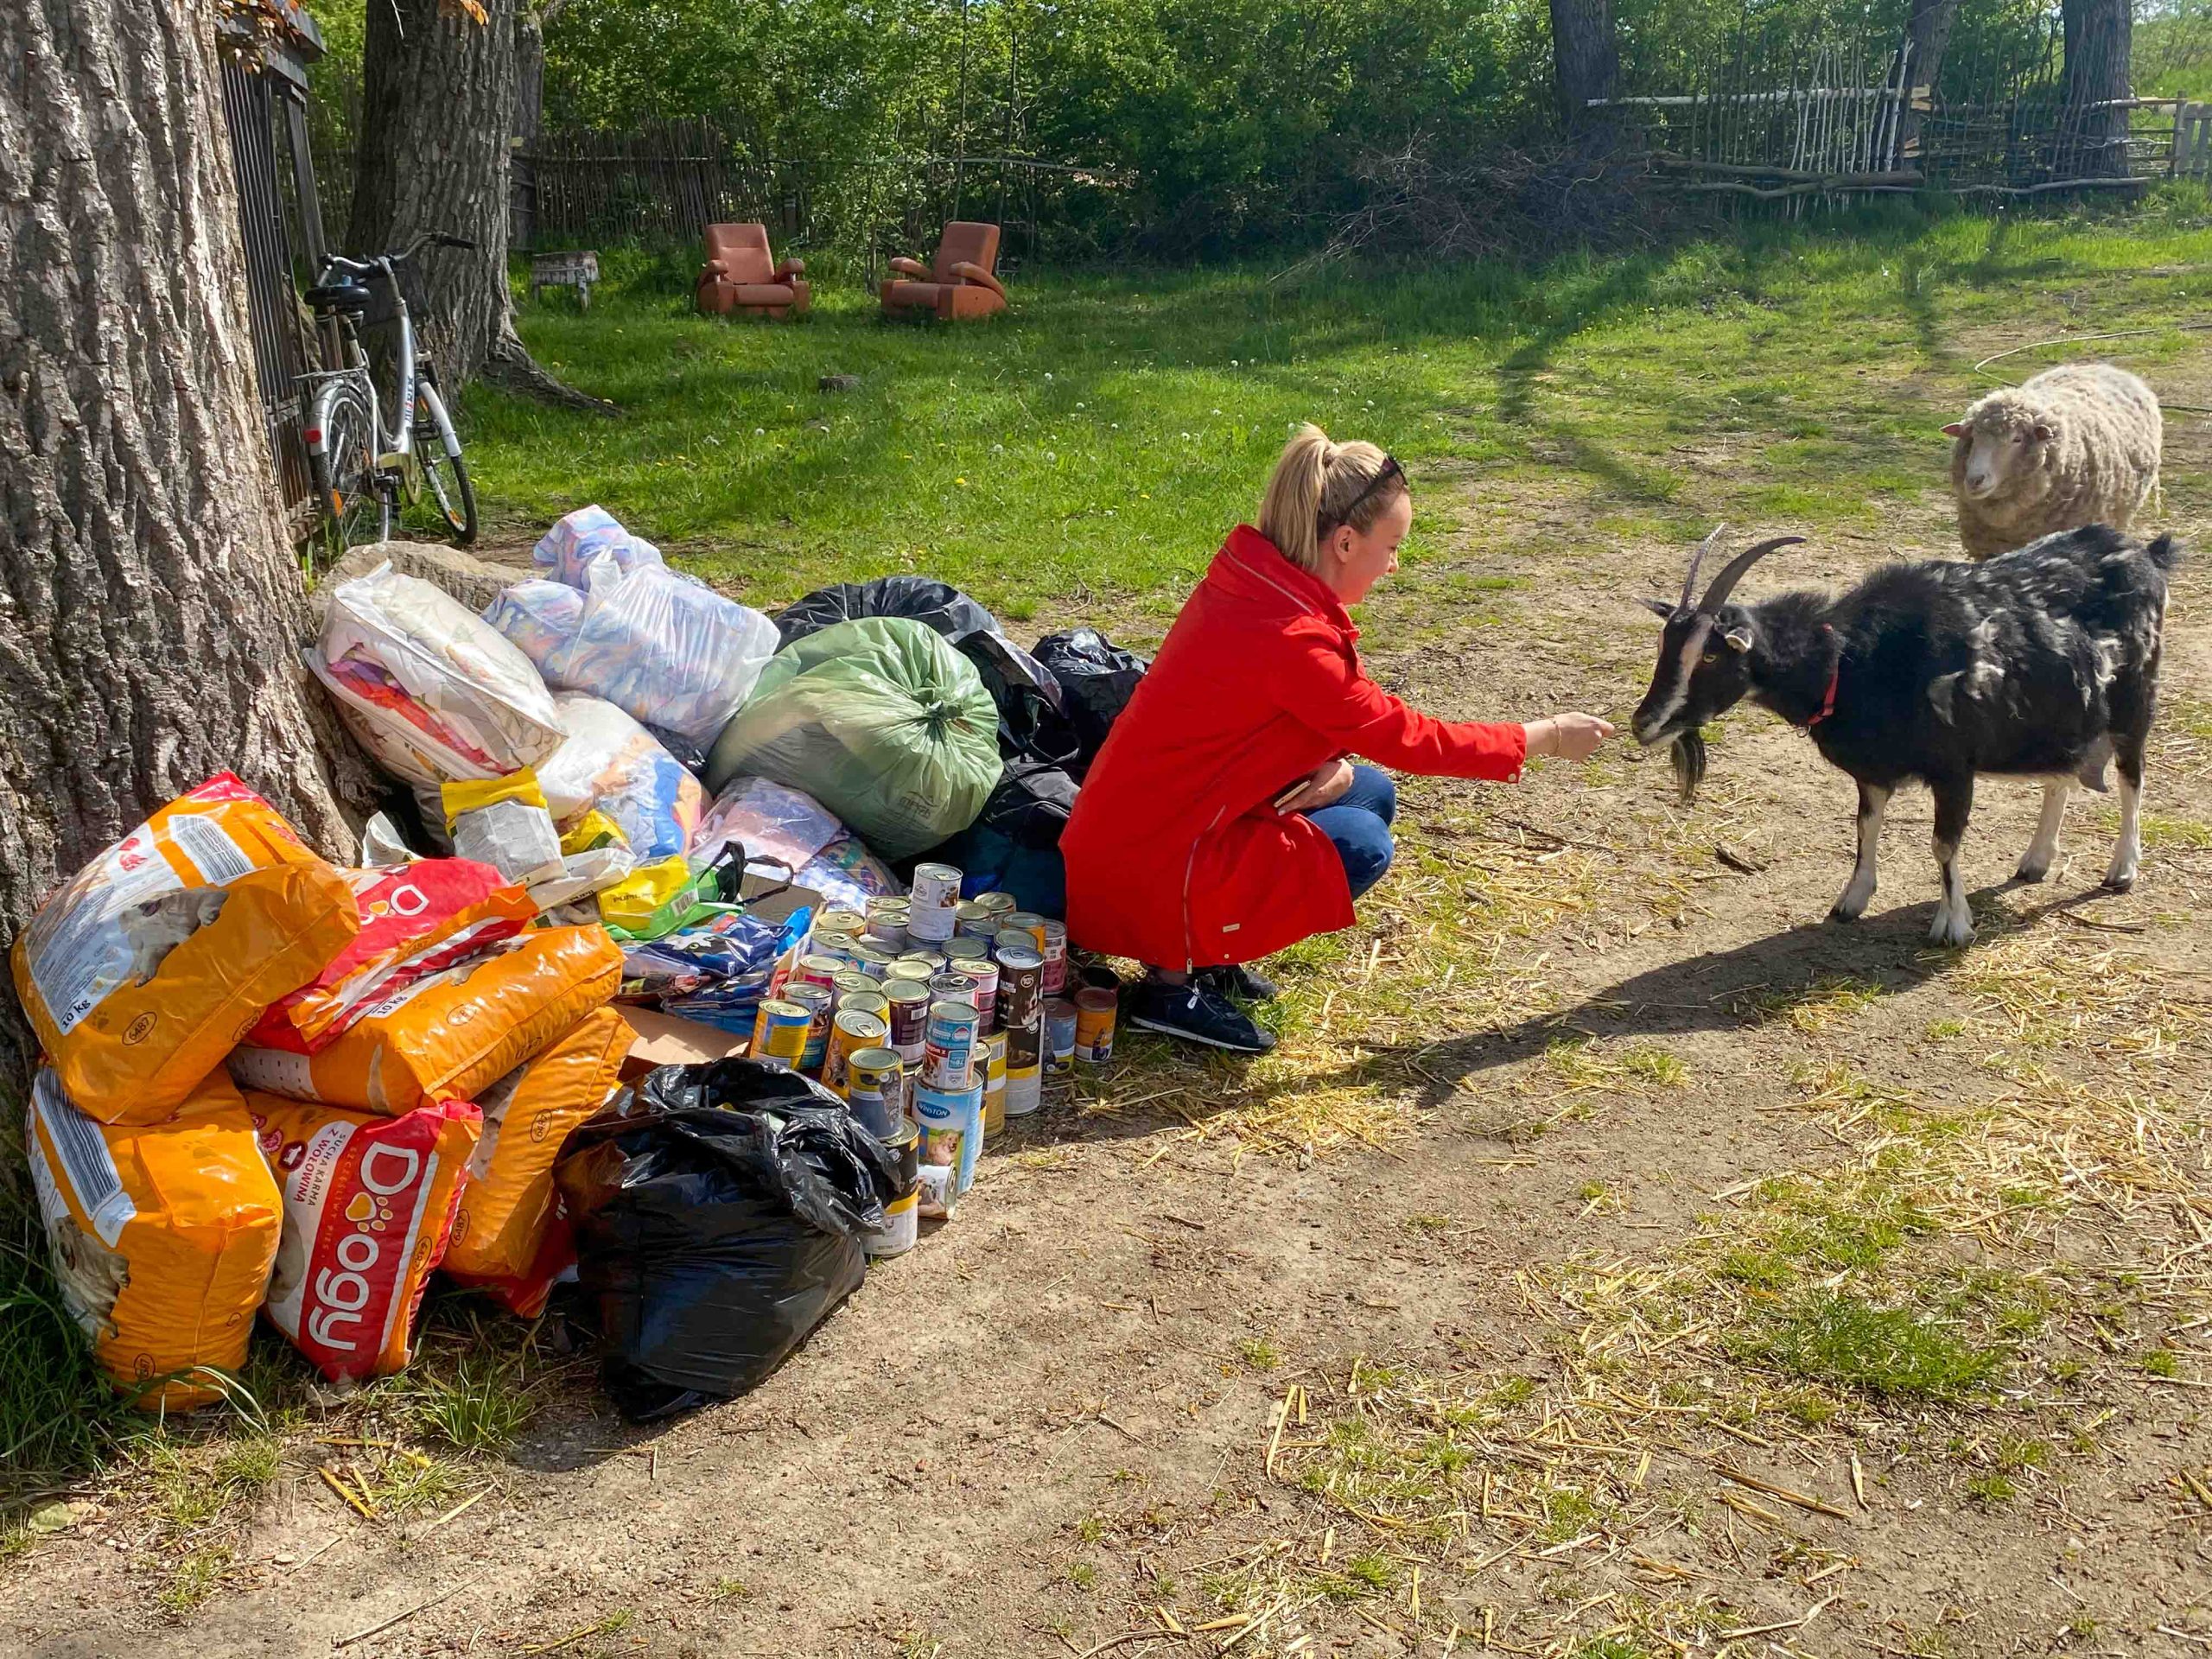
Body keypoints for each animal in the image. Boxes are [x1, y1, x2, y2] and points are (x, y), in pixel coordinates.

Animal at [1628, 532, 2177, 946]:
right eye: (1665, 646)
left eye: (1711, 656)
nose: (1643, 724)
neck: (1850, 663)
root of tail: (2147, 553)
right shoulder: (1872, 773)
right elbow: (1864, 829)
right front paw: (1851, 901)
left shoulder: (1954, 768)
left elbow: (1943, 845)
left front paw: (1953, 925)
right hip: (2060, 716)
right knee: (2060, 776)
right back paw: (2036, 860)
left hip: (2134, 701)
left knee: (2132, 779)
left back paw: (2122, 869)